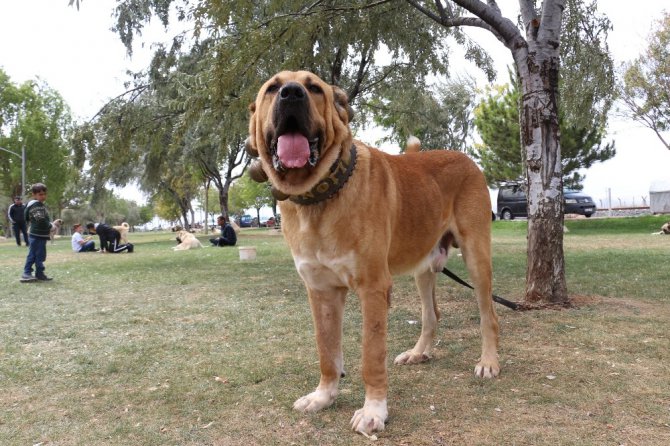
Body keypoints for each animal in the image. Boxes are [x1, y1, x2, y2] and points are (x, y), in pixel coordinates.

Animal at [247, 72, 498, 436]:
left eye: (314, 87)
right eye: (272, 88)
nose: (291, 93)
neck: (320, 196)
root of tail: (466, 159)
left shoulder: (373, 289)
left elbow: (371, 355)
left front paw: (374, 410)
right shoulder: (321, 291)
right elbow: (327, 352)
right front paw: (323, 396)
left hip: (477, 258)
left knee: (488, 316)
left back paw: (489, 362)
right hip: (424, 268)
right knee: (431, 315)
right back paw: (418, 353)